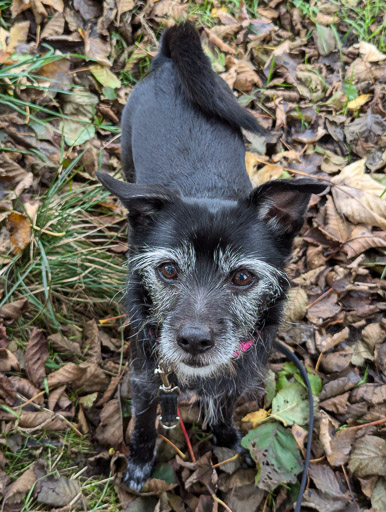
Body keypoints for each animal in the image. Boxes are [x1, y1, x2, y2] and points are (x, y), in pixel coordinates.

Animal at [96, 22, 326, 490]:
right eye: (167, 270)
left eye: (242, 277)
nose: (194, 341)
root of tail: (168, 63)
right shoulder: (146, 381)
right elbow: (144, 426)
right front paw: (139, 464)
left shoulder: (236, 375)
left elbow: (224, 408)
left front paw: (226, 439)